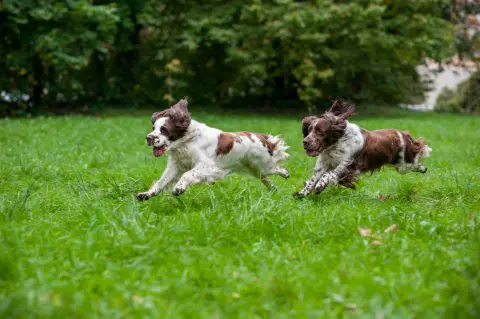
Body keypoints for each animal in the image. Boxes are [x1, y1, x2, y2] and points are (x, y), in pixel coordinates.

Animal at [137, 97, 290, 200]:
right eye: (153, 128)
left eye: (164, 130)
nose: (148, 138)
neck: (186, 142)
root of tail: (261, 137)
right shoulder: (176, 166)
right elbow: (161, 181)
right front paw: (146, 194)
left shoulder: (207, 165)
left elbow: (188, 175)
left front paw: (179, 189)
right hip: (254, 168)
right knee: (266, 178)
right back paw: (274, 189)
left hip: (264, 164)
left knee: (279, 169)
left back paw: (286, 175)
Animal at [292, 99, 432, 198]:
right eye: (309, 130)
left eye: (320, 131)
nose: (305, 142)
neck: (335, 144)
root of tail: (404, 134)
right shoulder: (323, 163)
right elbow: (312, 179)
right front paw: (302, 193)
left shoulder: (348, 164)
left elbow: (329, 174)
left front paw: (320, 186)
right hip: (400, 165)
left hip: (404, 164)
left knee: (417, 159)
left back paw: (423, 168)